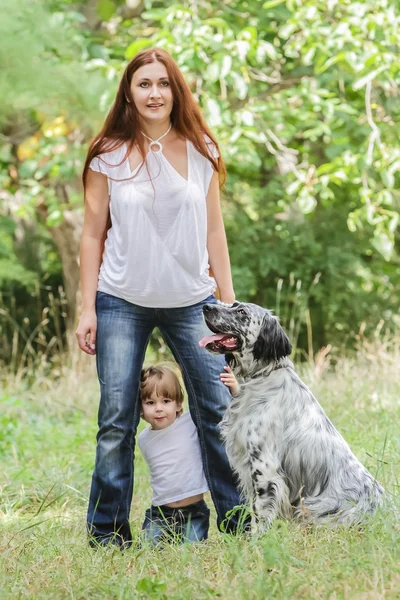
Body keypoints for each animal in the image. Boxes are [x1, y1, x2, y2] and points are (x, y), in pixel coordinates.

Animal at [200, 302, 384, 532]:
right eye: (233, 304)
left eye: (242, 312)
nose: (206, 306)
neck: (262, 376)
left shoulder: (265, 467)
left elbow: (259, 513)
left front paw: (256, 540)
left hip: (314, 507)